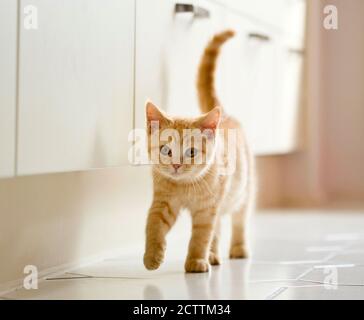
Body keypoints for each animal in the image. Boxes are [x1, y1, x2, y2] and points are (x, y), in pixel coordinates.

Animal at [144, 30, 255, 272]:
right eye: (166, 150)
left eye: (191, 152)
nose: (176, 165)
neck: (185, 186)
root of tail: (226, 115)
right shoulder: (163, 201)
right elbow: (154, 225)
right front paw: (152, 255)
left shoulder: (207, 209)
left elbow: (201, 236)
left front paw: (196, 260)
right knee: (219, 228)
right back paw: (213, 255)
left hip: (243, 192)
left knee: (239, 220)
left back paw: (238, 248)